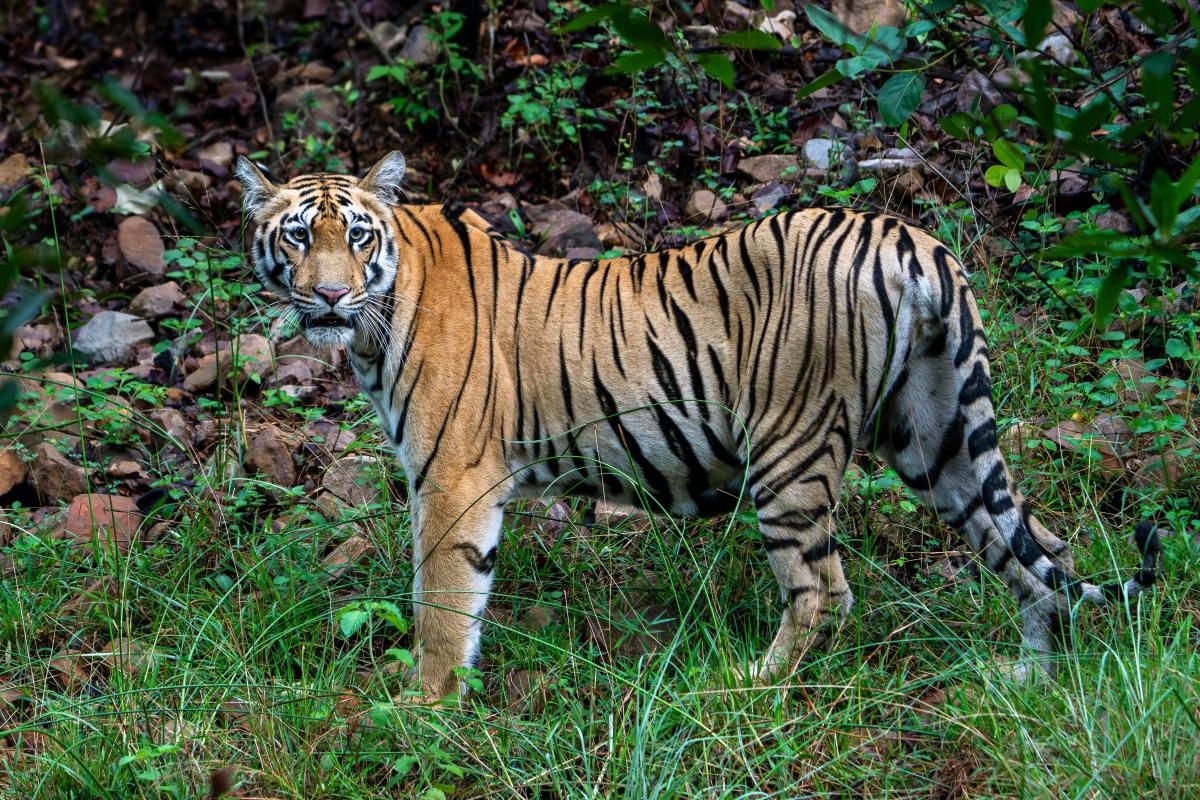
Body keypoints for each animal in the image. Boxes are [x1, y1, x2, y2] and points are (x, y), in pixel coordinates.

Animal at [236, 151, 1161, 700]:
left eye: (357, 237)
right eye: (299, 236)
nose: (328, 296)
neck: (381, 312)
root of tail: (909, 237)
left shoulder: (454, 477)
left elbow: (441, 602)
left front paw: (419, 710)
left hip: (791, 449)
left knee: (826, 589)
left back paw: (752, 684)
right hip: (938, 435)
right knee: (1041, 548)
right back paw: (1030, 677)